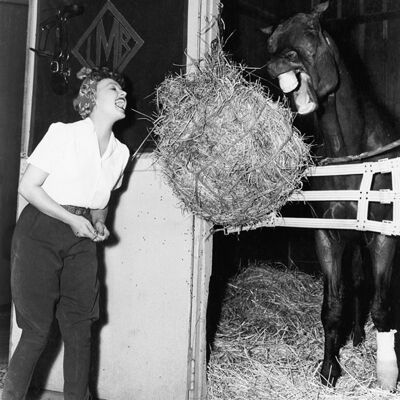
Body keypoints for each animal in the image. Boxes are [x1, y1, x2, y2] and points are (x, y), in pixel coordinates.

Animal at [262, 0, 400, 390]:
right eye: (271, 43)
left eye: (311, 31)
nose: (278, 63)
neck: (353, 154)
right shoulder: (328, 235)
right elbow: (333, 306)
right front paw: (328, 370)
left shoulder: (382, 238)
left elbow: (382, 306)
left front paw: (387, 375)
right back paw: (355, 337)